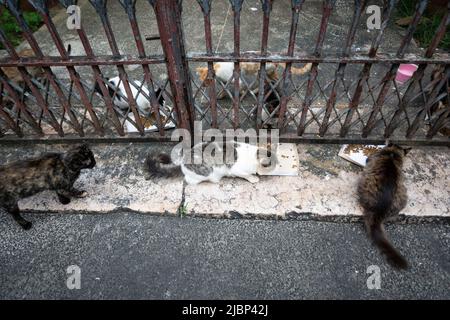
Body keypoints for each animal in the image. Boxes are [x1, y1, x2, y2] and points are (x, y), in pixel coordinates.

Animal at [358, 142, 412, 270]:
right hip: (403, 195)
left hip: (363, 180)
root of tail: (379, 213)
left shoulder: (371, 158)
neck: (393, 153)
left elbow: (368, 160)